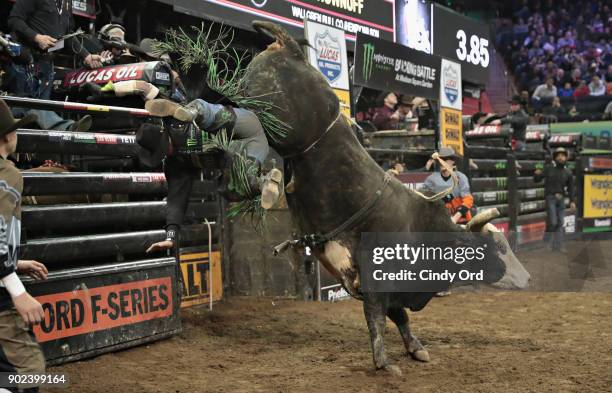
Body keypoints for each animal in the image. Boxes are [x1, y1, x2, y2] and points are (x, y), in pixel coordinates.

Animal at [244, 22, 532, 374]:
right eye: (498, 248)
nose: (528, 278)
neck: (428, 232)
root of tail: (293, 49)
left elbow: (400, 316)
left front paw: (416, 349)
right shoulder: (377, 280)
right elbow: (377, 320)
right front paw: (384, 364)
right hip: (277, 118)